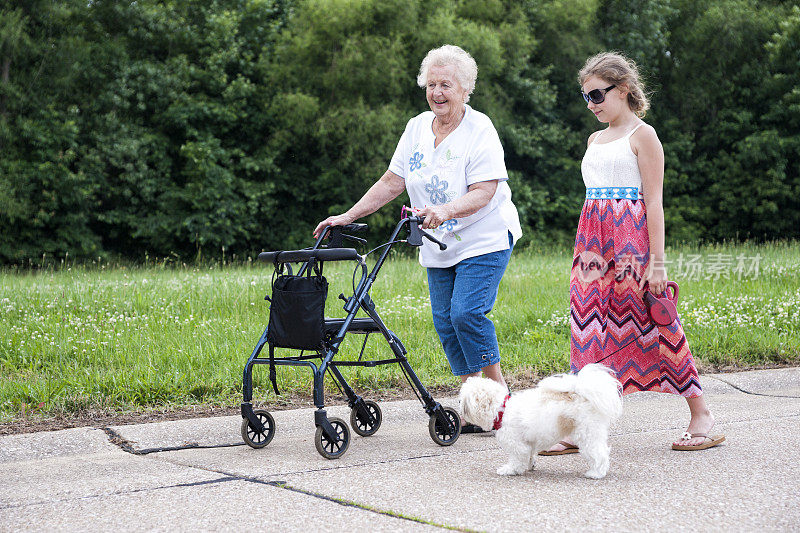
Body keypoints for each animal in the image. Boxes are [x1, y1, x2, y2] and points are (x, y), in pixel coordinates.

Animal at [460, 362, 620, 478]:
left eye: (463, 399)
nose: (459, 403)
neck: (502, 409)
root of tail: (581, 395)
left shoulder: (517, 445)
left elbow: (517, 460)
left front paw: (509, 470)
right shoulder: (528, 444)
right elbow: (530, 455)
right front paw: (530, 465)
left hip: (587, 434)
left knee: (599, 454)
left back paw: (596, 473)